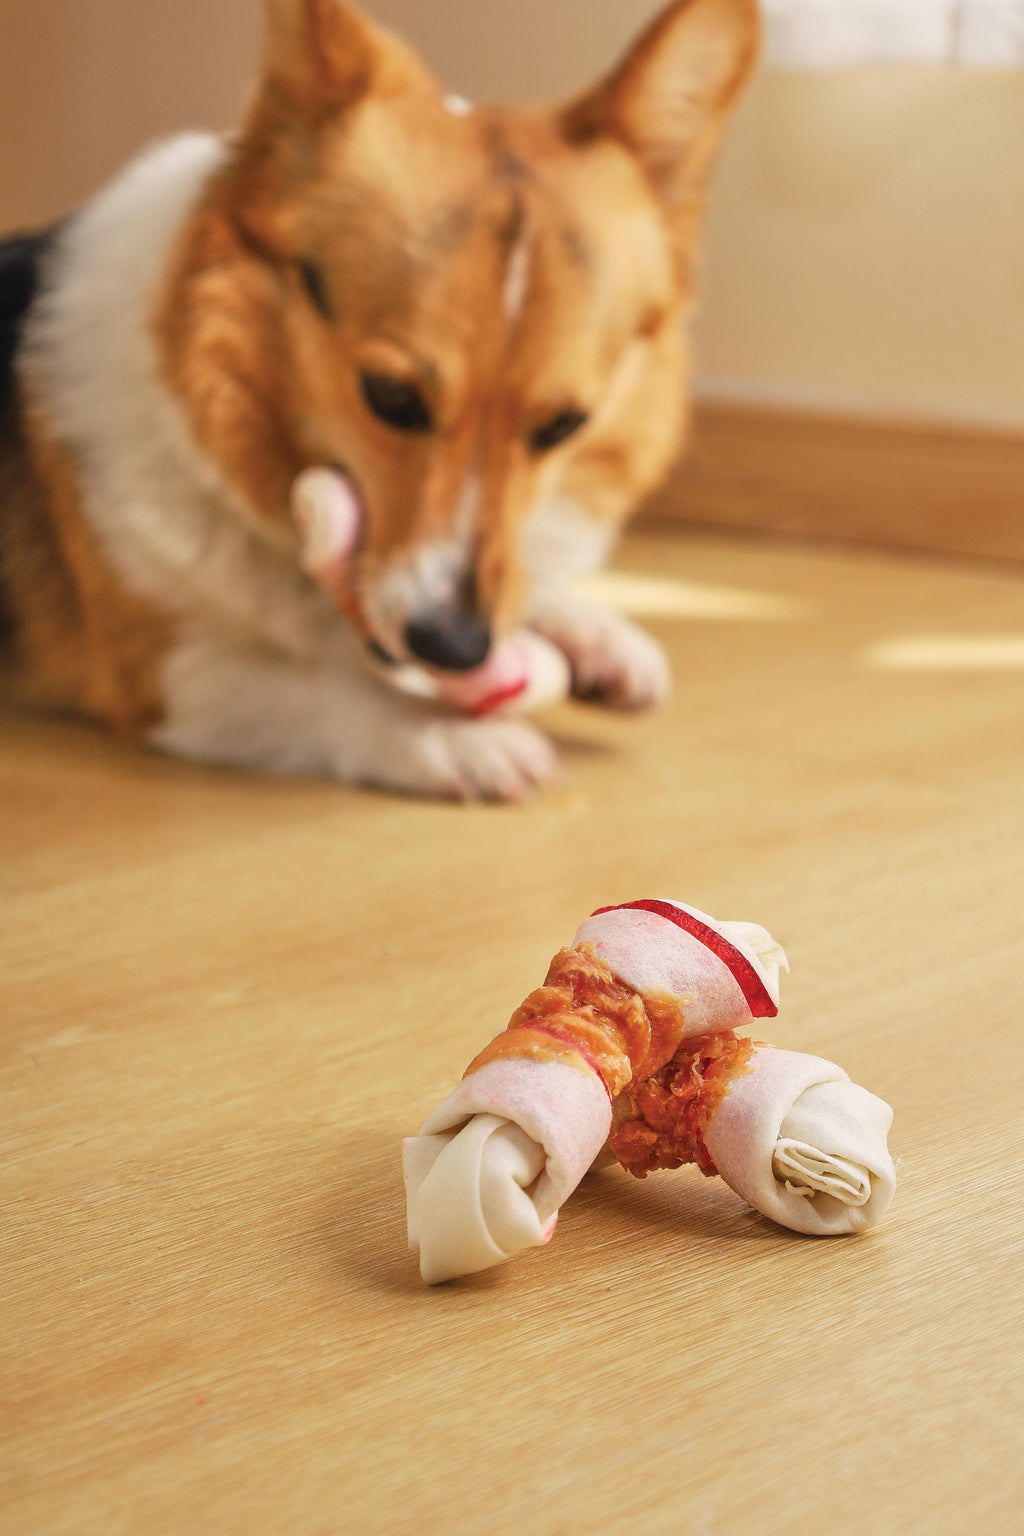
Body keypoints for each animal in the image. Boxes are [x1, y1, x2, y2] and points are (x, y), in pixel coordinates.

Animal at [2, 0, 761, 798]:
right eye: (391, 397)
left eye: (563, 425)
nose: (456, 648)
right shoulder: (165, 672)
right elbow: (329, 693)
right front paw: (453, 739)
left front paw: (599, 633)